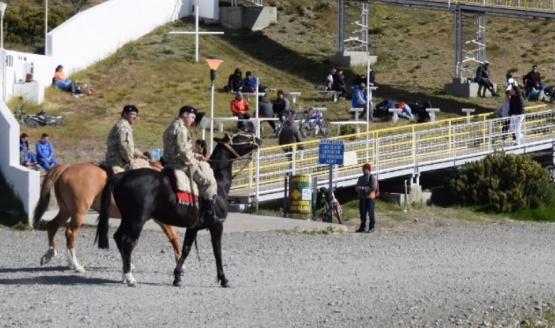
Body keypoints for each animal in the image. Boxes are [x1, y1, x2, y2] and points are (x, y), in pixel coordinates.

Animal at [33, 161, 182, 272]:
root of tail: (67, 167)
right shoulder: (158, 220)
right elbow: (173, 236)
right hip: (78, 212)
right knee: (70, 233)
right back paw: (76, 265)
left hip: (66, 210)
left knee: (52, 225)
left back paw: (51, 254)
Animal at [95, 133, 260, 288]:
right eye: (238, 137)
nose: (258, 140)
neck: (218, 186)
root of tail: (121, 175)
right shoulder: (217, 226)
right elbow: (217, 251)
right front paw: (223, 279)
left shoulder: (193, 227)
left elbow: (186, 249)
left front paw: (177, 276)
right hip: (137, 220)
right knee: (128, 242)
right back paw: (130, 278)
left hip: (127, 218)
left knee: (118, 238)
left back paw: (125, 275)